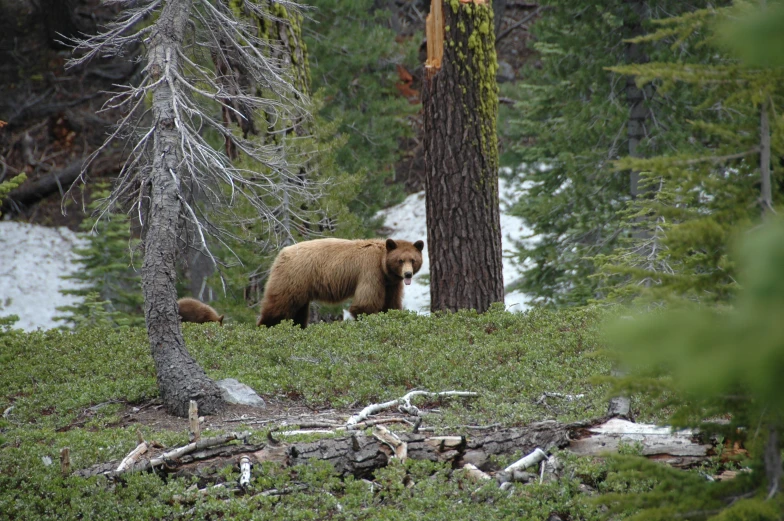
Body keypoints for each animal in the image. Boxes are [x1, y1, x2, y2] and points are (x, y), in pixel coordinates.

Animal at [258, 238, 426, 328]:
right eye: (400, 260)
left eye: (413, 260)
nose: (408, 274)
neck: (383, 266)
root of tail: (281, 253)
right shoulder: (371, 272)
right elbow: (365, 303)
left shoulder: (391, 284)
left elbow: (391, 304)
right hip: (293, 278)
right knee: (279, 306)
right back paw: (266, 327)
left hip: (300, 288)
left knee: (298, 312)